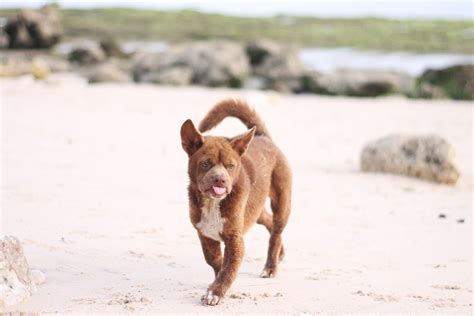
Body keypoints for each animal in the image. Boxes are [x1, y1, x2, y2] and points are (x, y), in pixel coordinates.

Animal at [181, 99, 292, 306]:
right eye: (205, 164)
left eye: (230, 166)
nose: (220, 179)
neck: (213, 203)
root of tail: (263, 137)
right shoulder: (204, 234)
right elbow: (215, 260)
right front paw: (216, 283)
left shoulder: (235, 239)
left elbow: (228, 268)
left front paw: (215, 292)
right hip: (255, 211)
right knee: (269, 223)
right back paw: (280, 253)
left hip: (282, 201)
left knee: (276, 232)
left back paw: (271, 267)